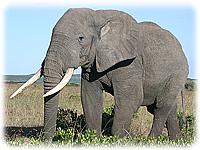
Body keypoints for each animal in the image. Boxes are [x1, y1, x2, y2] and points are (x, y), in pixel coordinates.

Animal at [10, 7, 189, 140]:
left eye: (81, 38)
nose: (48, 140)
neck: (99, 16)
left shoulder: (131, 62)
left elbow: (131, 98)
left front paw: (118, 140)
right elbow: (89, 97)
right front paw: (94, 138)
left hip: (178, 73)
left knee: (161, 107)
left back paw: (151, 141)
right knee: (167, 109)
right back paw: (176, 140)